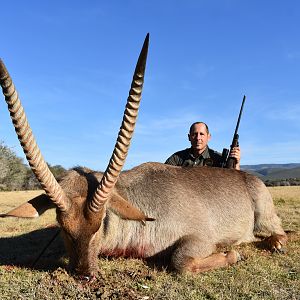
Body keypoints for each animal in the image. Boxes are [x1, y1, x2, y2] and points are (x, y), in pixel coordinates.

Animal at [0, 35, 286, 282]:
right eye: (61, 225)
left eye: (100, 223)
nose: (84, 274)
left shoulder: (202, 239)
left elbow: (181, 262)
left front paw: (233, 254)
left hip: (266, 216)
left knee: (278, 232)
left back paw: (275, 243)